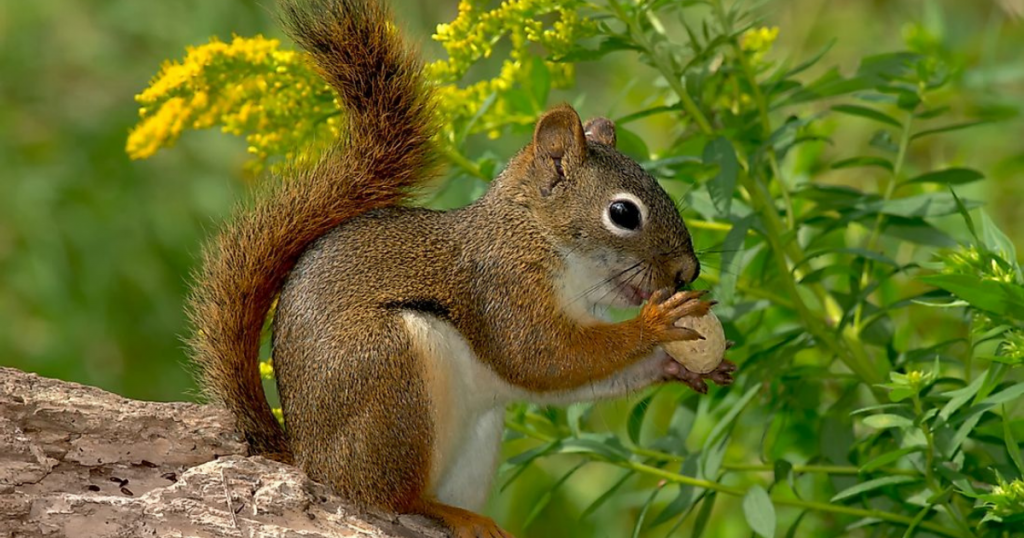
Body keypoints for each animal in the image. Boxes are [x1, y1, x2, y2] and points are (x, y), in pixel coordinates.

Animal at [187, 0, 736, 536]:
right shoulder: (501, 286)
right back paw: (450, 514)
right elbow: (541, 356)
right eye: (623, 213)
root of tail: (308, 462)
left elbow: (572, 375)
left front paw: (682, 364)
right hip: (390, 376)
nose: (688, 271)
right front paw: (658, 322)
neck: (537, 236)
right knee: (391, 496)